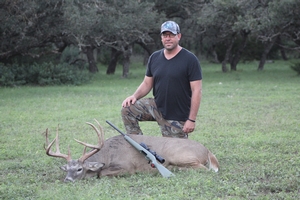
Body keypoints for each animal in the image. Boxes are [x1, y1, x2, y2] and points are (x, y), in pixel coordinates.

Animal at [45, 119, 218, 182]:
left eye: (79, 169)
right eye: (67, 169)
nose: (67, 179)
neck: (108, 155)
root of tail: (207, 150)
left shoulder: (127, 167)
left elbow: (102, 173)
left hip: (178, 155)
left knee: (204, 169)